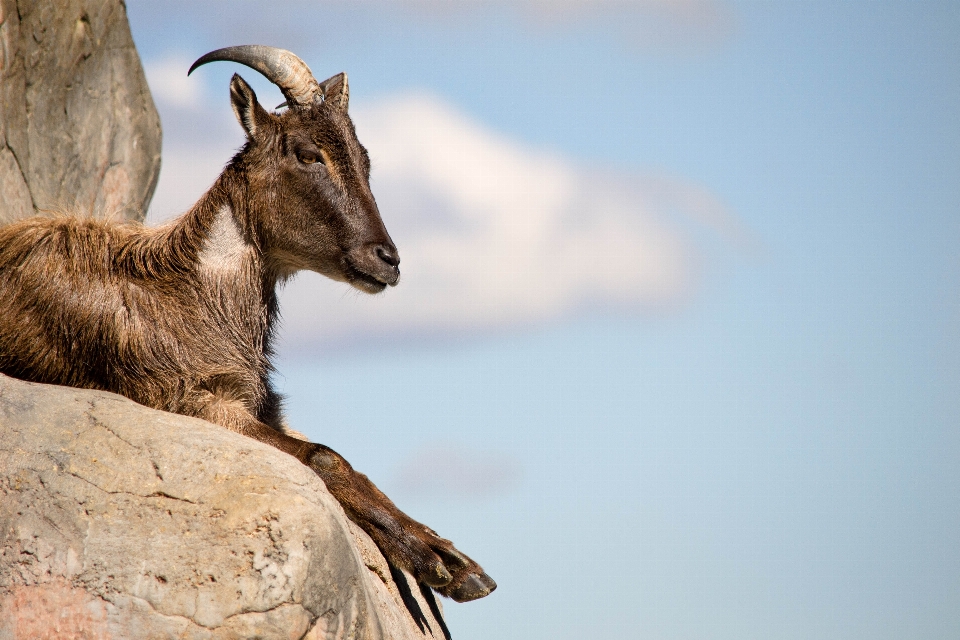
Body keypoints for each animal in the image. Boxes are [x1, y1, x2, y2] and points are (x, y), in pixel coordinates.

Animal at [0, 45, 496, 604]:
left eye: (364, 158)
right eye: (308, 153)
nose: (387, 260)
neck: (190, 293)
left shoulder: (261, 406)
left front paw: (458, 563)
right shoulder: (187, 398)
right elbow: (324, 456)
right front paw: (439, 561)